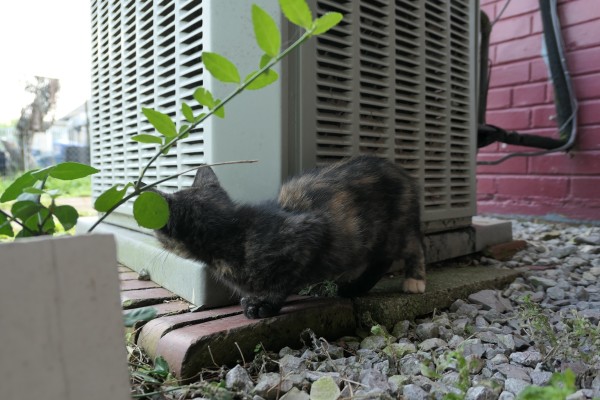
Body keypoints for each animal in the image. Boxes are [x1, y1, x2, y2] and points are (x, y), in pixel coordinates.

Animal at [155, 155, 426, 318]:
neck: (232, 232)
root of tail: (403, 173)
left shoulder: (307, 234)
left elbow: (283, 282)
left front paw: (264, 304)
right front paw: (253, 299)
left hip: (394, 229)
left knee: (414, 246)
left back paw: (414, 281)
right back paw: (354, 286)